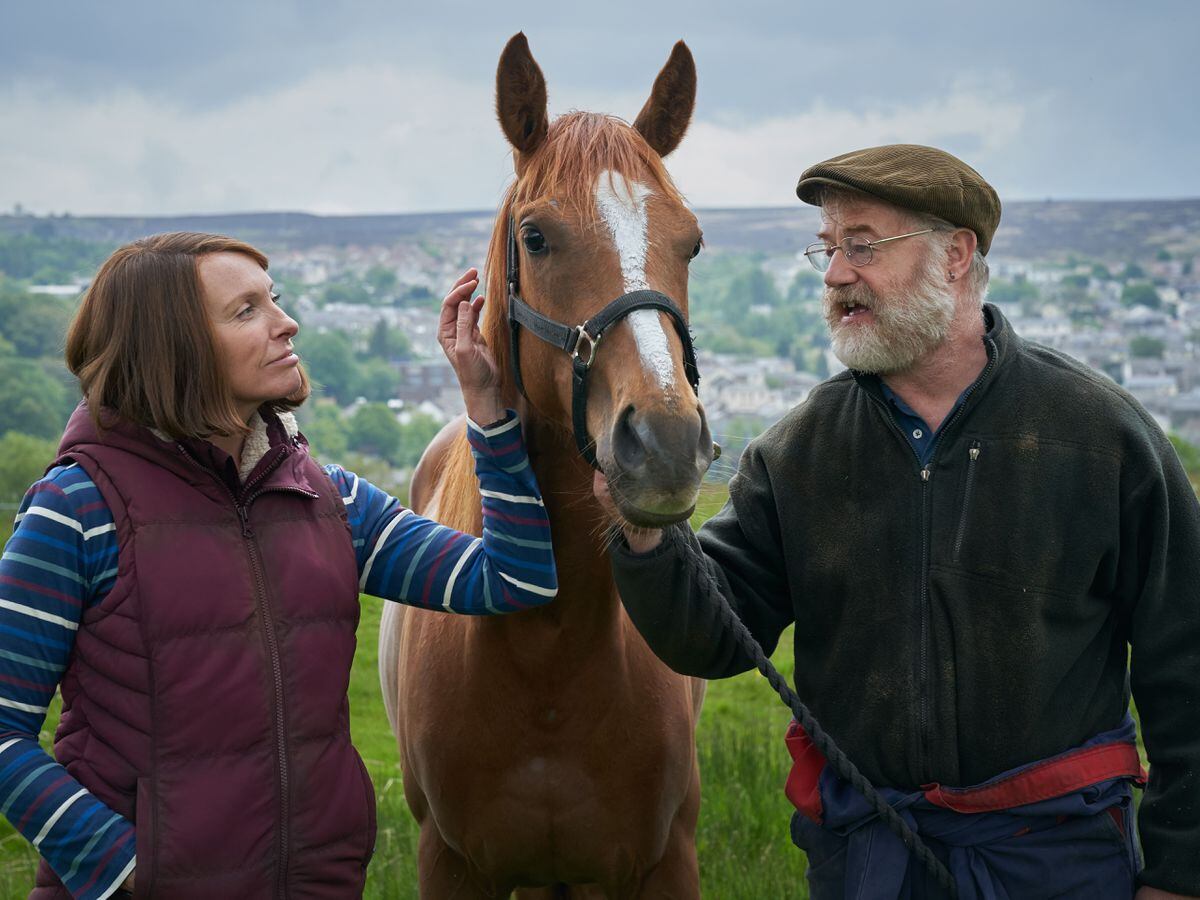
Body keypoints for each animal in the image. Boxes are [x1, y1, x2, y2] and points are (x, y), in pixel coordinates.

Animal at [379, 31, 710, 897]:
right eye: (535, 237)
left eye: (693, 240)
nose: (666, 442)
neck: (552, 655)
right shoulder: (451, 862)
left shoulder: (665, 859)